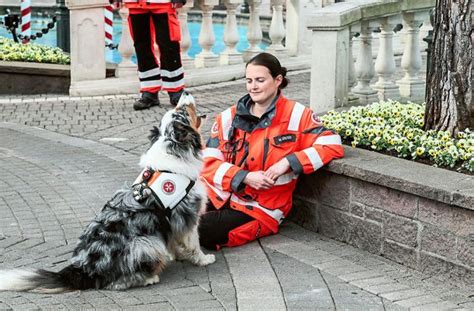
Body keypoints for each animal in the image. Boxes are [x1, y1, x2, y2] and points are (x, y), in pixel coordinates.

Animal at [0, 94, 215, 294]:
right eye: (183, 111)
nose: (184, 93)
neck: (172, 152)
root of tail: (82, 269)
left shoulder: (171, 223)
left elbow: (173, 242)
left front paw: (178, 255)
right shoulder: (189, 215)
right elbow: (193, 242)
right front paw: (203, 259)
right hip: (146, 243)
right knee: (115, 283)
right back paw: (149, 278)